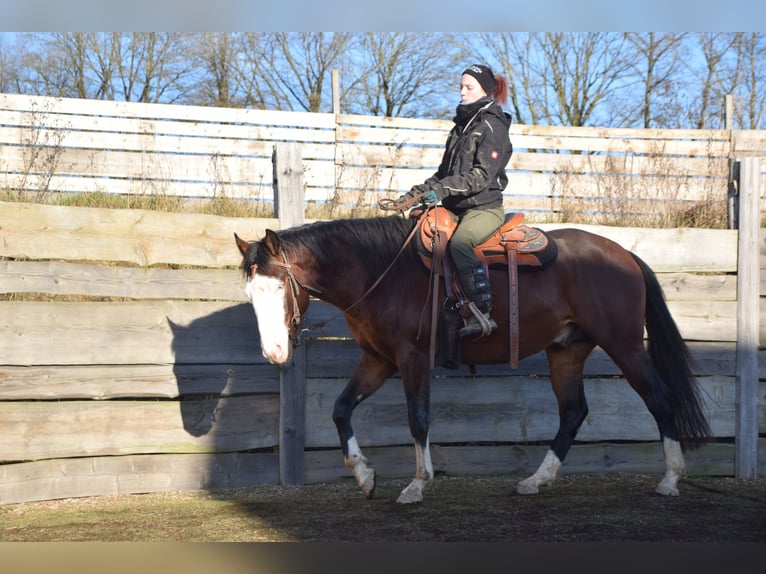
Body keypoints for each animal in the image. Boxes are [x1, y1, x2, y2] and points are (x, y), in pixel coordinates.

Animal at [234, 211, 712, 504]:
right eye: (251, 294)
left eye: (278, 288)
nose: (274, 352)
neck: (381, 273)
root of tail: (626, 255)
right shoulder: (377, 359)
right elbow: (340, 408)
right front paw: (365, 476)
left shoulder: (411, 359)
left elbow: (418, 419)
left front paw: (417, 485)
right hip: (566, 351)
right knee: (573, 412)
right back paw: (535, 480)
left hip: (625, 344)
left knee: (660, 399)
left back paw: (670, 479)